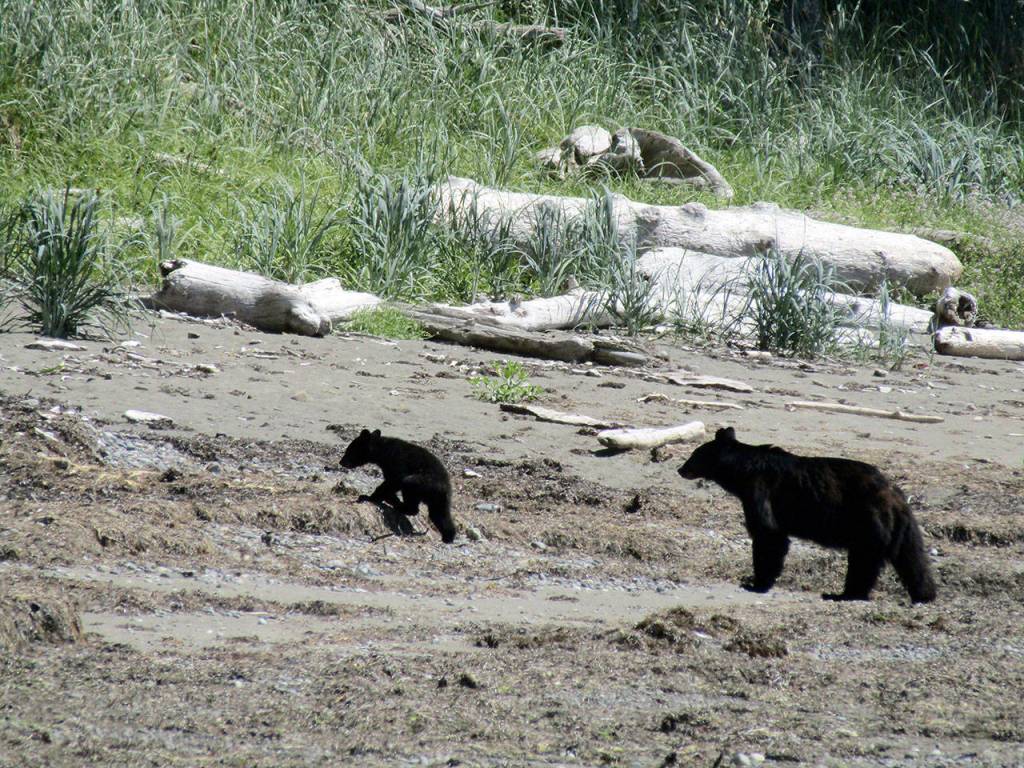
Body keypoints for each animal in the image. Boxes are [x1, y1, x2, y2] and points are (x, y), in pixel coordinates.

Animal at [678, 427, 936, 604]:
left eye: (694, 454)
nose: (680, 469)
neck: (742, 472)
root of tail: (895, 494)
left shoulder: (760, 491)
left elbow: (768, 535)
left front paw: (756, 582)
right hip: (903, 527)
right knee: (913, 559)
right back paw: (925, 595)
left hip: (868, 522)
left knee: (863, 561)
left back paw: (844, 594)